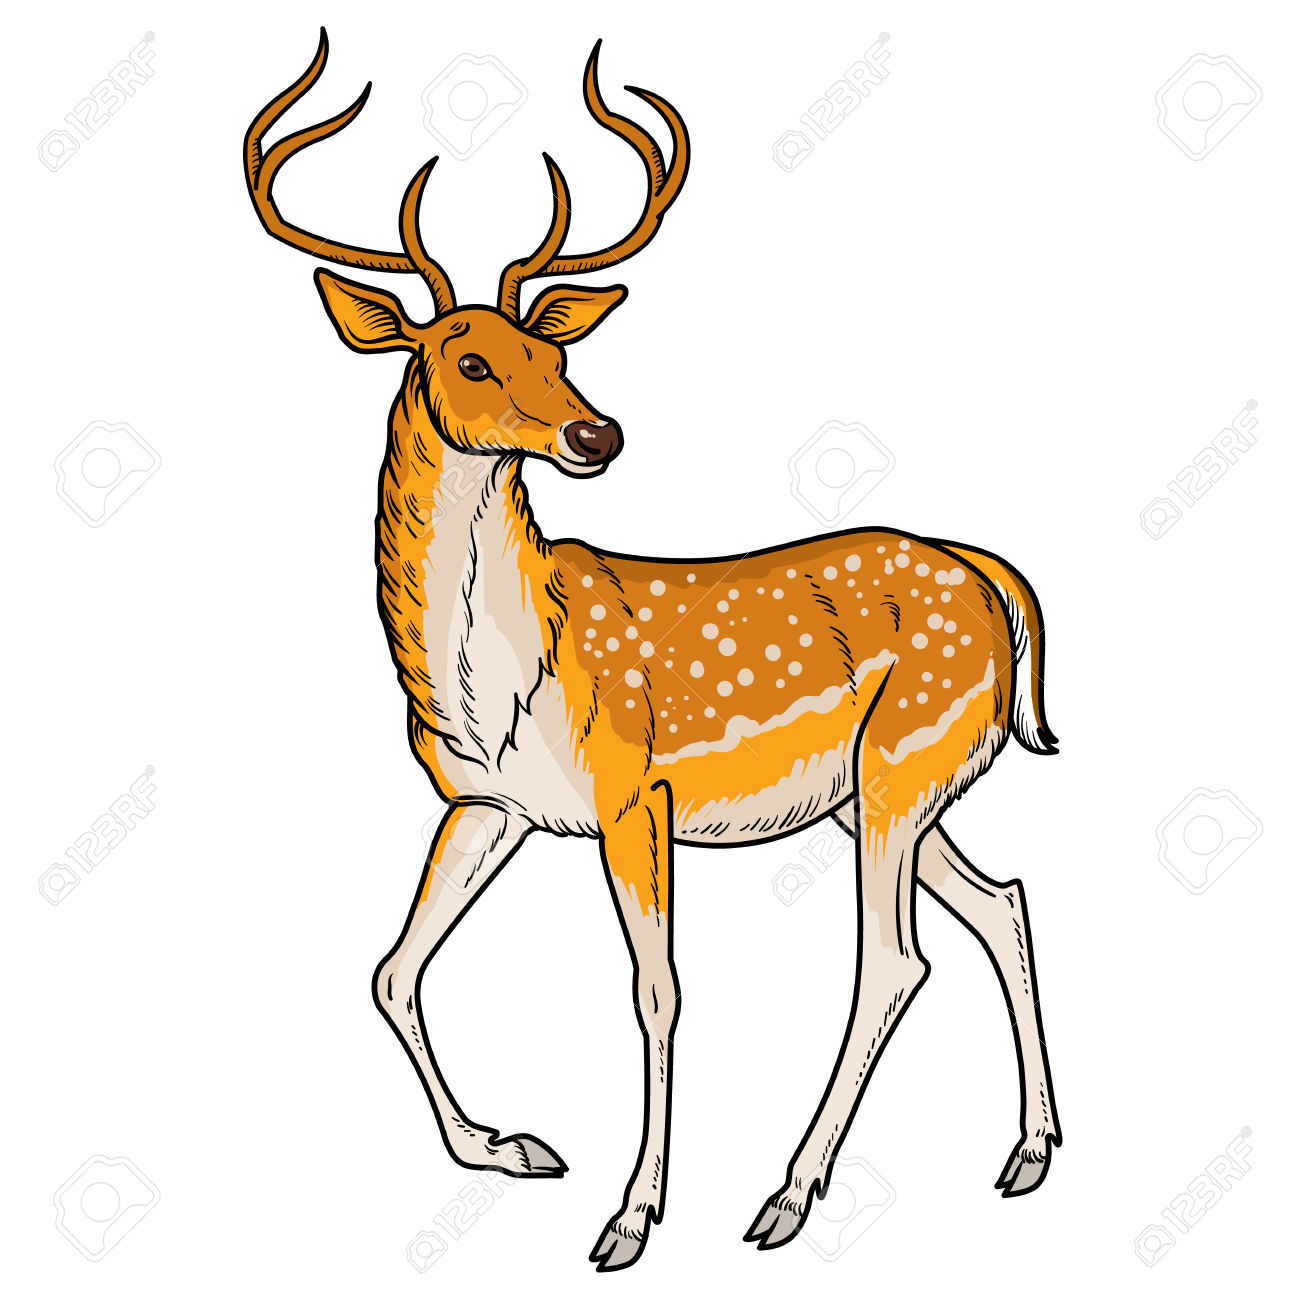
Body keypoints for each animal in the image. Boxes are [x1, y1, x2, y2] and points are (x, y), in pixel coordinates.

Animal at [245, 30, 1062, 1271]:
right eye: (468, 360)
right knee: (1001, 901)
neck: (504, 681)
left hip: (902, 762)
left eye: (552, 348)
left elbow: (656, 988)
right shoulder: (487, 803)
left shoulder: (632, 788)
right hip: (890, 787)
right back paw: (1028, 1151)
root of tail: (992, 577)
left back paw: (786, 1195)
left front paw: (629, 1217)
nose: (598, 431)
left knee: (893, 959)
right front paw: (512, 1147)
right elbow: (392, 967)